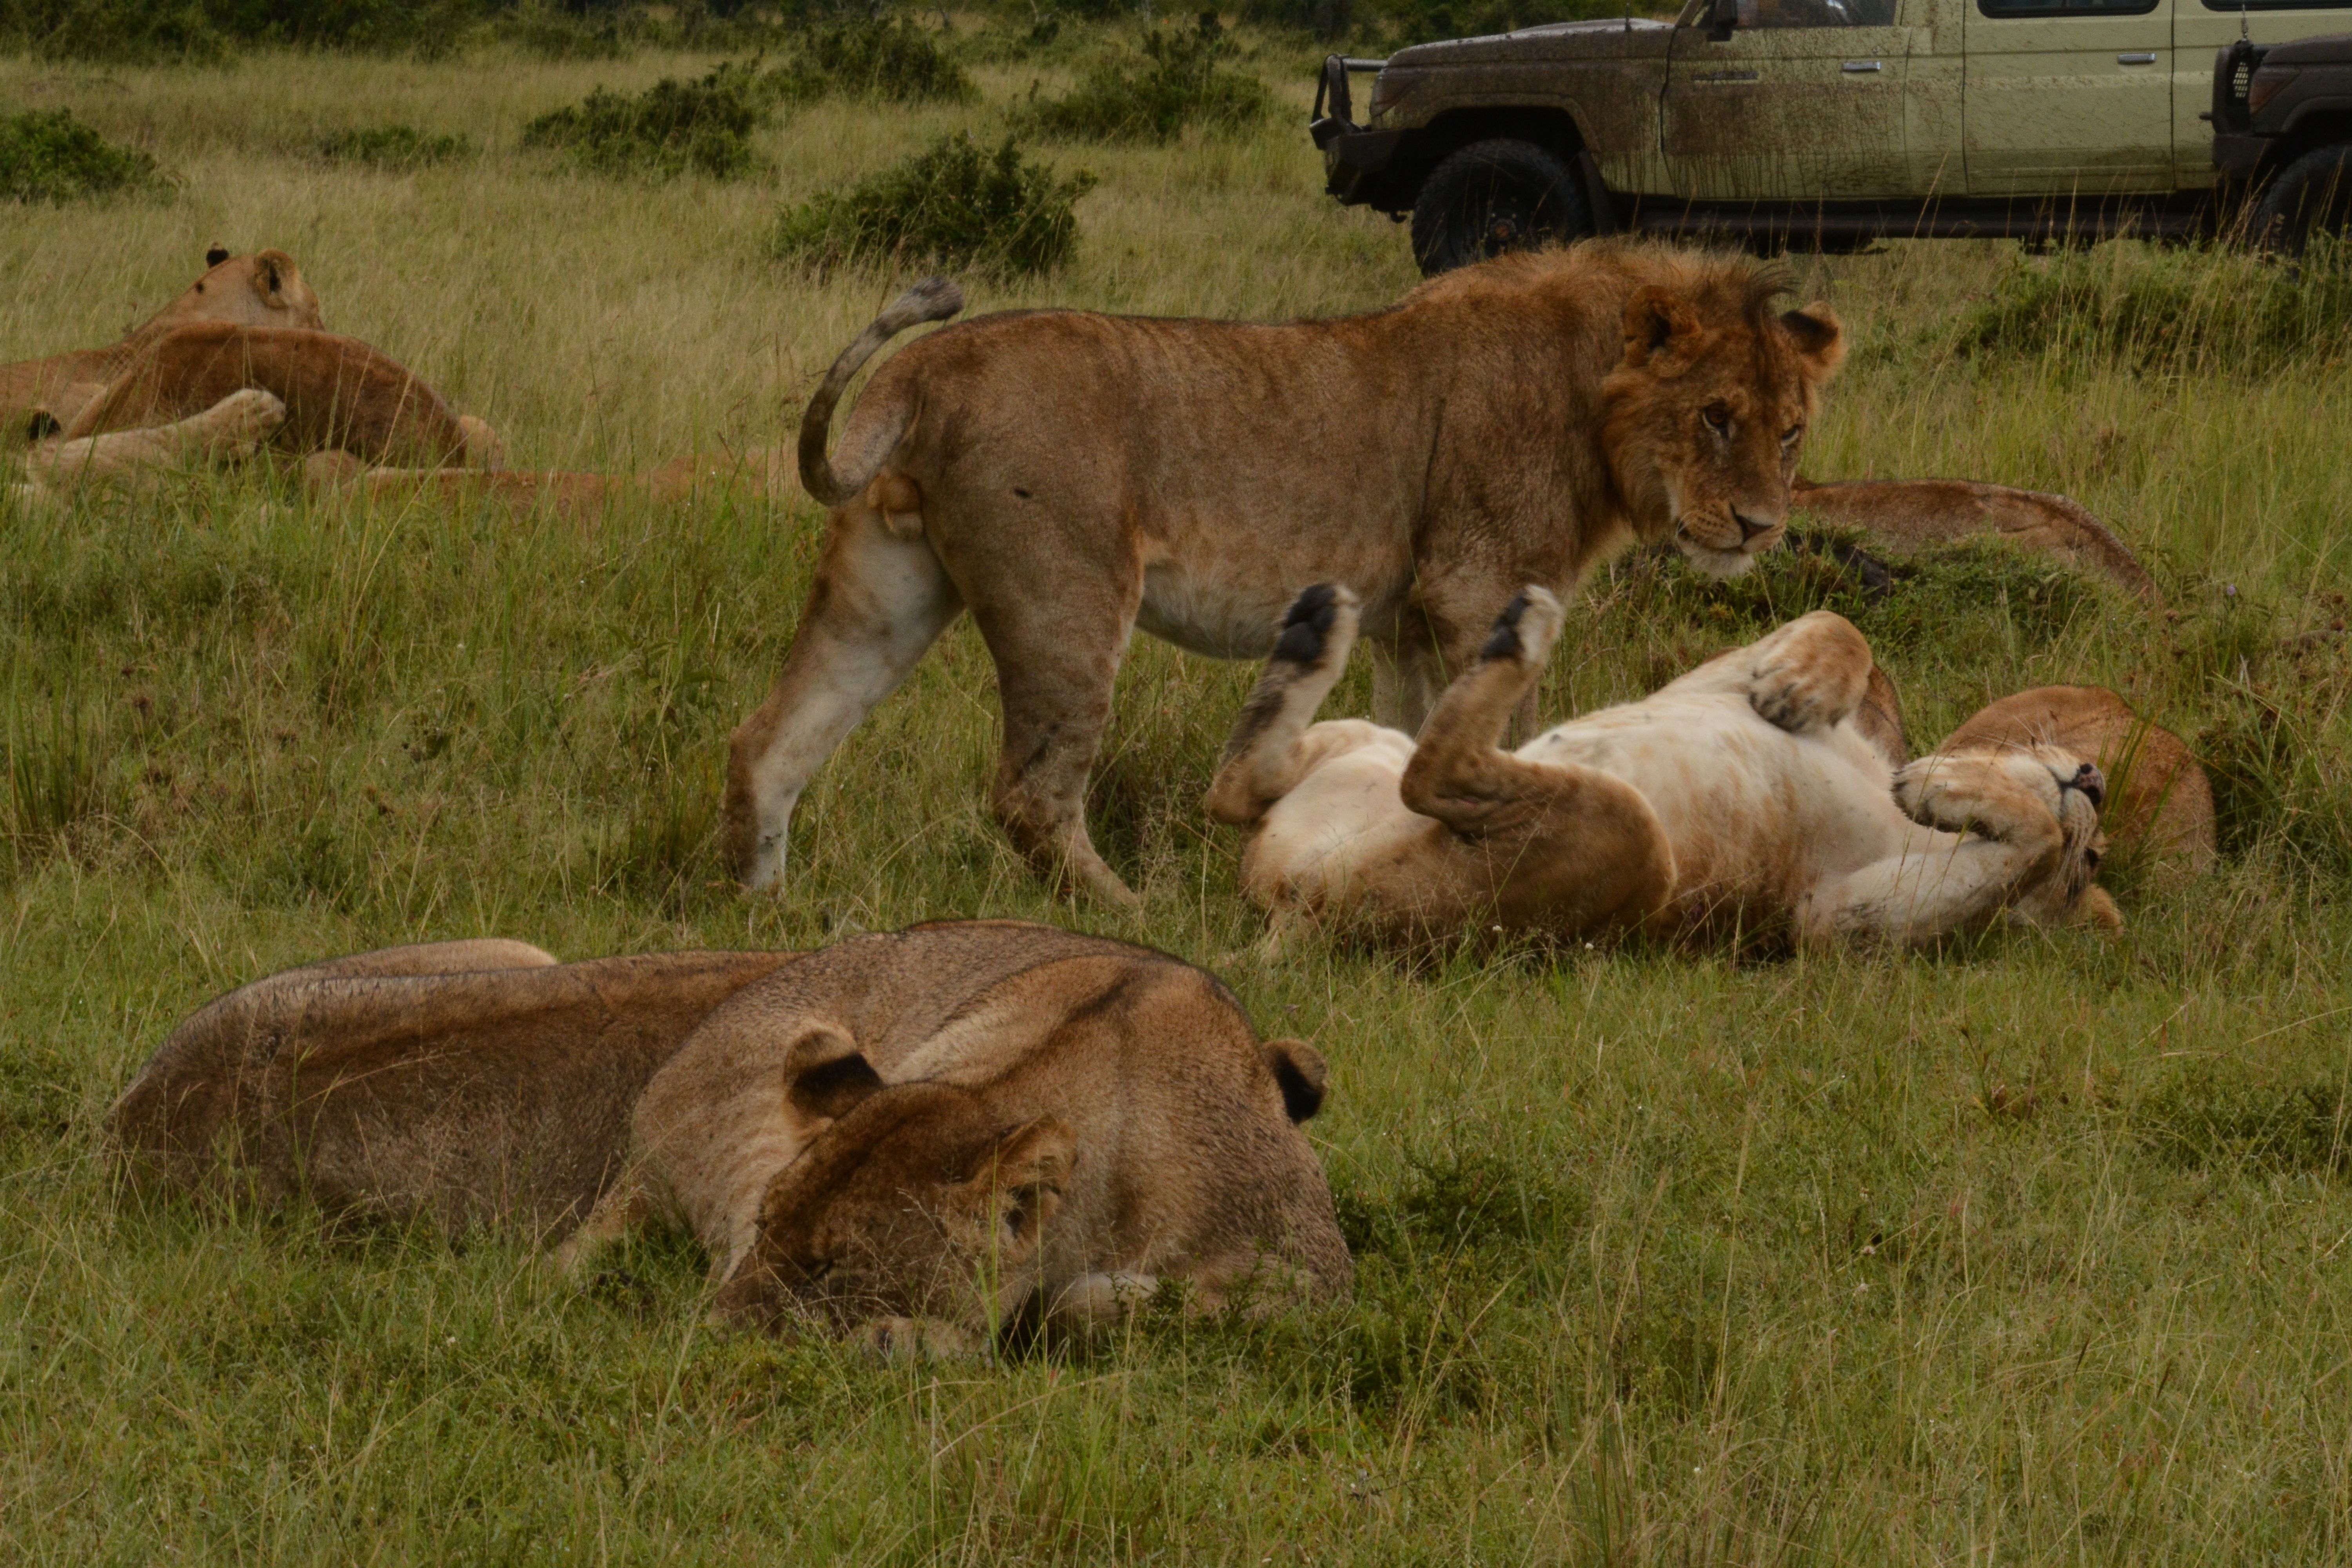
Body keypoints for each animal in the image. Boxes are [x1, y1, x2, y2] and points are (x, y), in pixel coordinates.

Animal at [727, 242, 1847, 906]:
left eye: (1791, 431)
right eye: (1715, 417)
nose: (1760, 526)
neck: (1589, 394)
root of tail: (926, 367)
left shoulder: (1408, 619)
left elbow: (1415, 727)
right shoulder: (1479, 585)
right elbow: (1517, 730)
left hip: (890, 587)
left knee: (771, 741)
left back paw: (763, 908)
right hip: (1069, 599)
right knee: (1030, 794)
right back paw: (1140, 913)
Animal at [1205, 585, 2118, 950]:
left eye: (2087, 873)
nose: (2096, 783)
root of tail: (1291, 908)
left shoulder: (1827, 924)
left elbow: (2027, 844)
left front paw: (1942, 788)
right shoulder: (1710, 679)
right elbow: (1841, 624)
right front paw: (1799, 688)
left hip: (1636, 847)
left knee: (1430, 771)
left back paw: (1519, 633)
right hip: (1364, 740)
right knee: (1236, 784)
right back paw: (1317, 627)